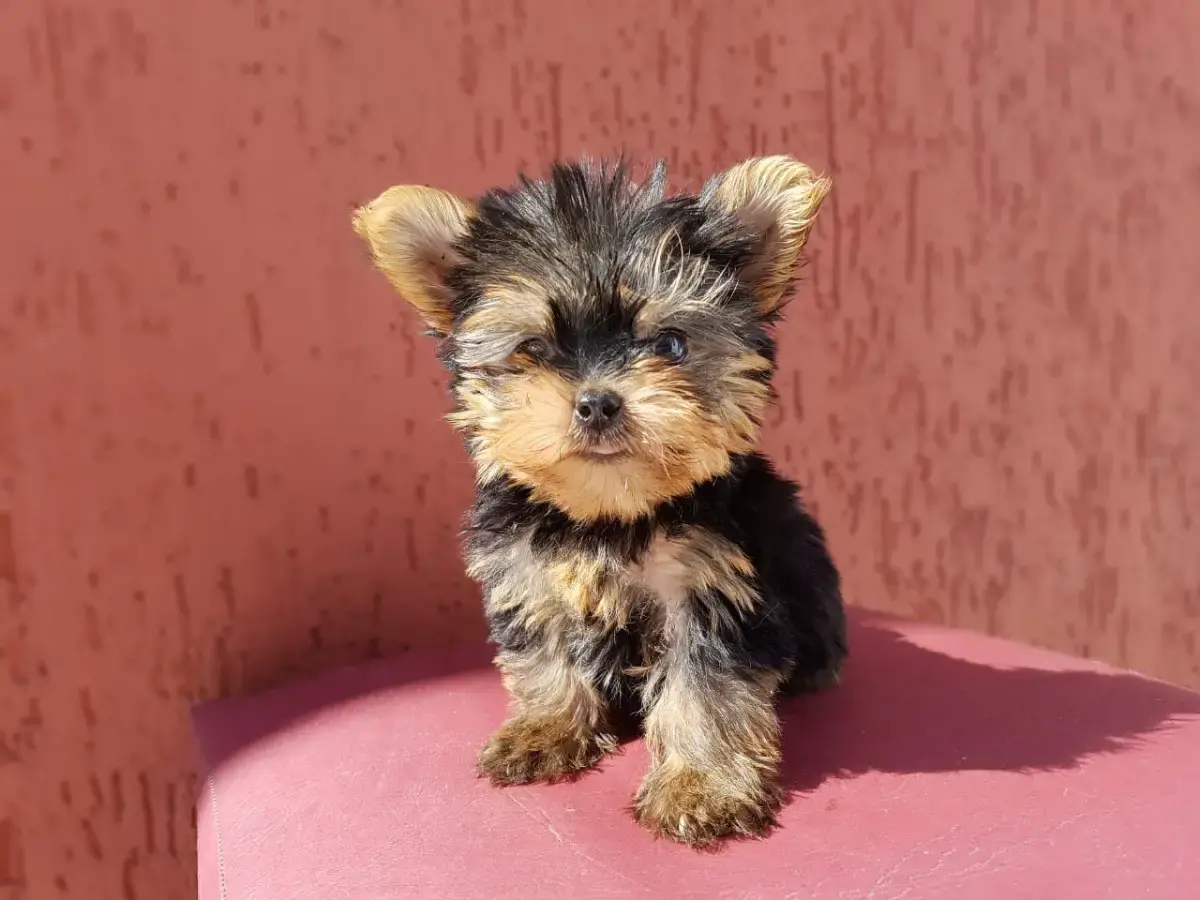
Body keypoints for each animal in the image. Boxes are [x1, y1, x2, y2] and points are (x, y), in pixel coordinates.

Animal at [350, 154, 849, 844]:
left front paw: (701, 786)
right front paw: (545, 728)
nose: (596, 401)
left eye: (670, 343)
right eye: (531, 349)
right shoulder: (527, 572)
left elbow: (706, 687)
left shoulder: (711, 586)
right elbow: (543, 654)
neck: (606, 515)